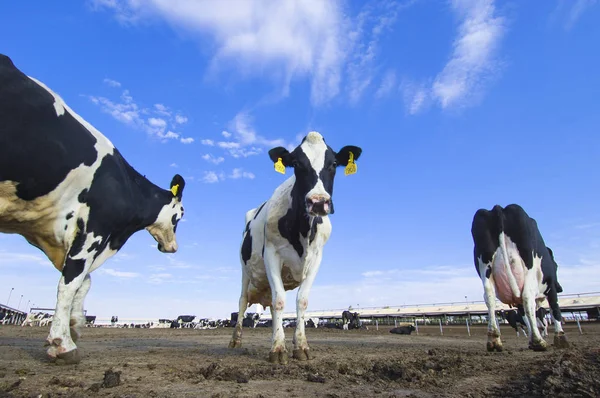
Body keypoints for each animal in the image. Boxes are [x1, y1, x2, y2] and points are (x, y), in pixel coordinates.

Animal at [0, 53, 185, 364]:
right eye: (180, 216)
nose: (172, 248)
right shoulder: (94, 228)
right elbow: (71, 282)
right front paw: (62, 343)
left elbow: (82, 282)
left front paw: (74, 325)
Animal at [229, 131, 360, 364]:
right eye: (297, 164)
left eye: (334, 163)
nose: (318, 202)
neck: (303, 231)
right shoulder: (271, 254)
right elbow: (280, 300)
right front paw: (277, 349)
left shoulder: (317, 258)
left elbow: (301, 301)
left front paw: (299, 345)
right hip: (244, 271)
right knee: (243, 302)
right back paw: (236, 341)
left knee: (272, 305)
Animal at [474, 205, 568, 352]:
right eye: (556, 266)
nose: (560, 288)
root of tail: (498, 208)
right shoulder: (551, 285)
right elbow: (555, 309)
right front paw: (560, 338)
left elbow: (525, 316)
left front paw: (530, 340)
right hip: (528, 266)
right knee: (528, 297)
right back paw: (538, 341)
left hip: (484, 266)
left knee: (489, 297)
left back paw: (494, 340)